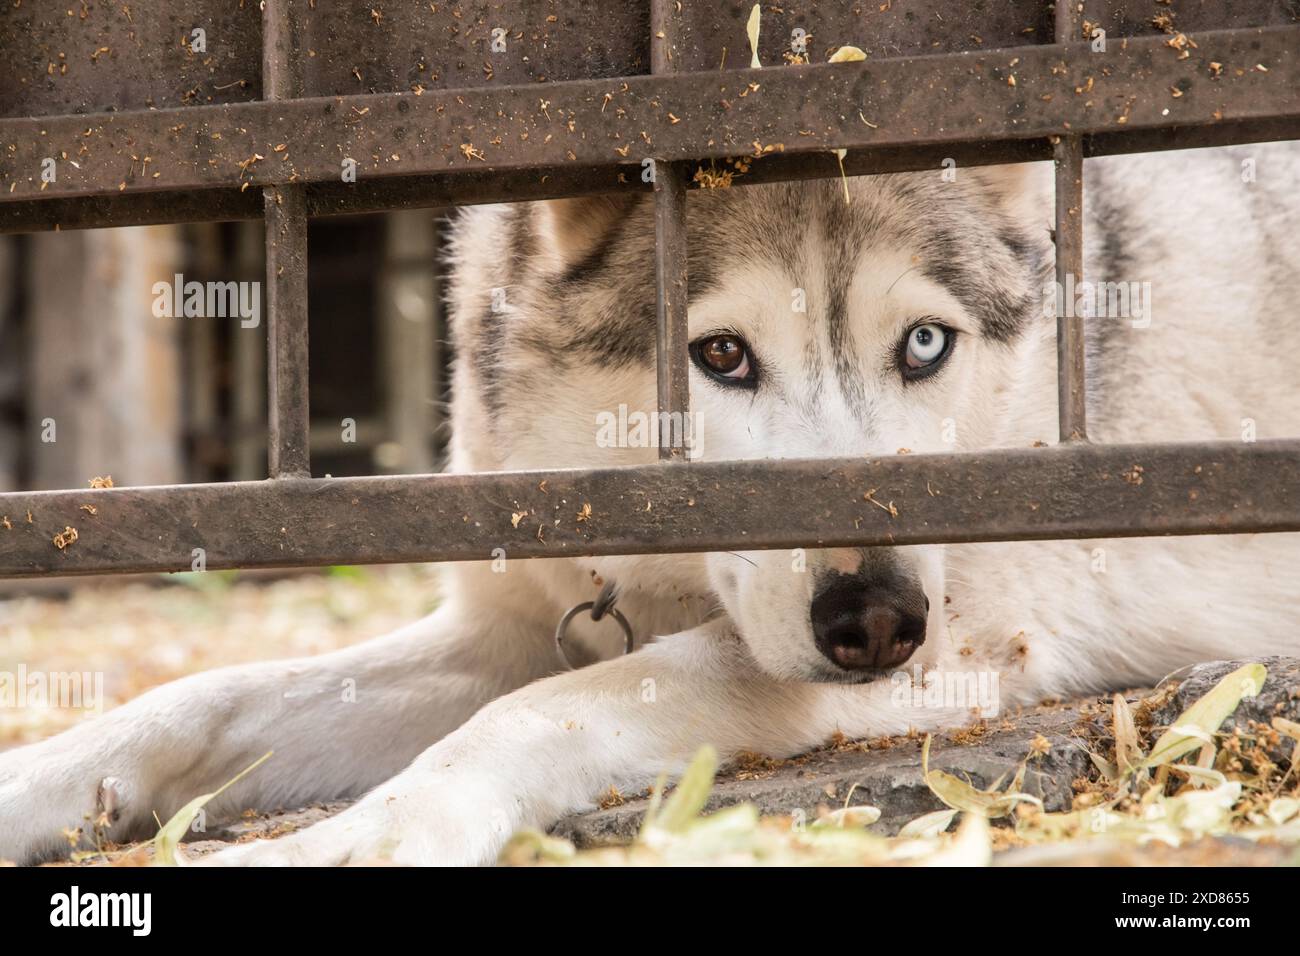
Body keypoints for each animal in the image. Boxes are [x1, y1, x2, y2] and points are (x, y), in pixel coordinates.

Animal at [2, 143, 1300, 868]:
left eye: (924, 345)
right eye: (719, 356)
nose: (875, 620)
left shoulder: (971, 638)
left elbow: (547, 709)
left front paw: (375, 833)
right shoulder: (500, 630)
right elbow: (196, 698)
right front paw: (35, 782)